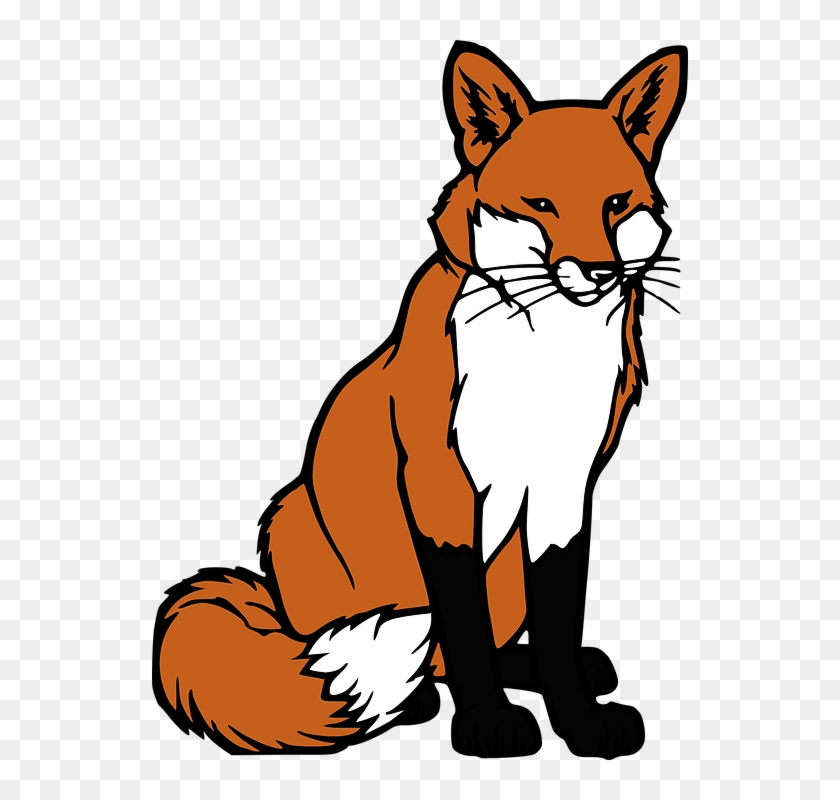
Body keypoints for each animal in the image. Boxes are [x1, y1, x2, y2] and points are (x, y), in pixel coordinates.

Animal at [152, 41, 687, 759]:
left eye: (616, 202)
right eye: (541, 203)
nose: (599, 273)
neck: (544, 360)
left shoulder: (566, 489)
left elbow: (558, 621)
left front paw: (577, 718)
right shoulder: (441, 484)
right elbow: (461, 624)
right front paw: (487, 724)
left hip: (507, 570)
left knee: (486, 645)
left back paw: (550, 671)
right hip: (294, 522)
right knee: (423, 654)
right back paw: (419, 700)